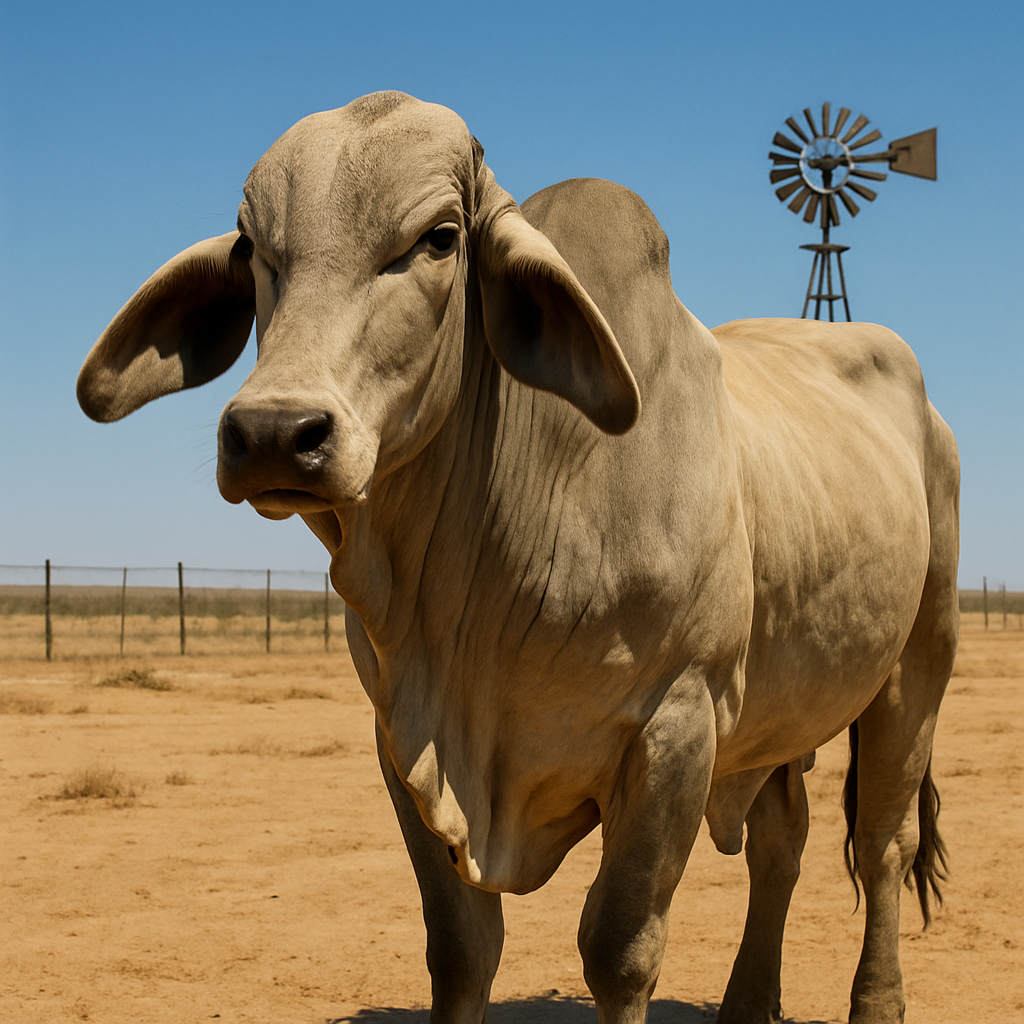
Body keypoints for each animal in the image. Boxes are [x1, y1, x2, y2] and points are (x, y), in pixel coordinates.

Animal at [78, 91, 959, 1024]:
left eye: (439, 238)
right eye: (252, 248)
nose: (276, 433)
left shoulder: (676, 729)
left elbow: (619, 951)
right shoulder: (403, 737)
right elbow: (463, 950)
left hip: (917, 665)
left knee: (885, 842)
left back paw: (877, 1001)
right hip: (781, 711)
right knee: (780, 840)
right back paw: (749, 1005)